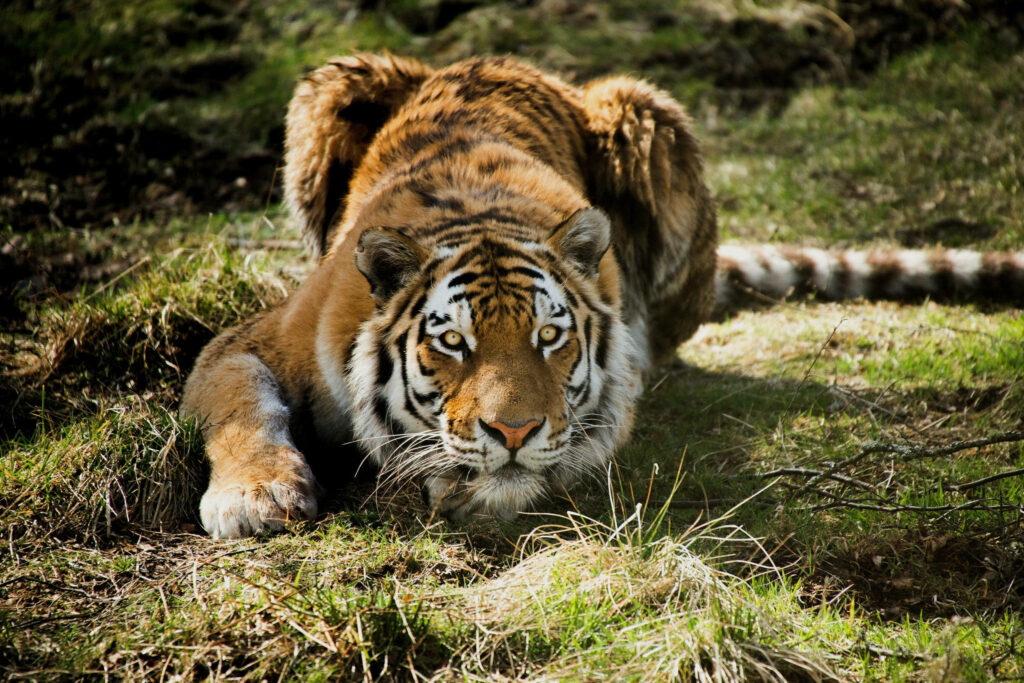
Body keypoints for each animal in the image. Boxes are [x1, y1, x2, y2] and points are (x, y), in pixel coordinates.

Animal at [181, 54, 1024, 539]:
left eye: (549, 338)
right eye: (452, 342)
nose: (513, 431)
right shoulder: (252, 339)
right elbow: (240, 404)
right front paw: (254, 496)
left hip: (647, 115)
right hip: (332, 84)